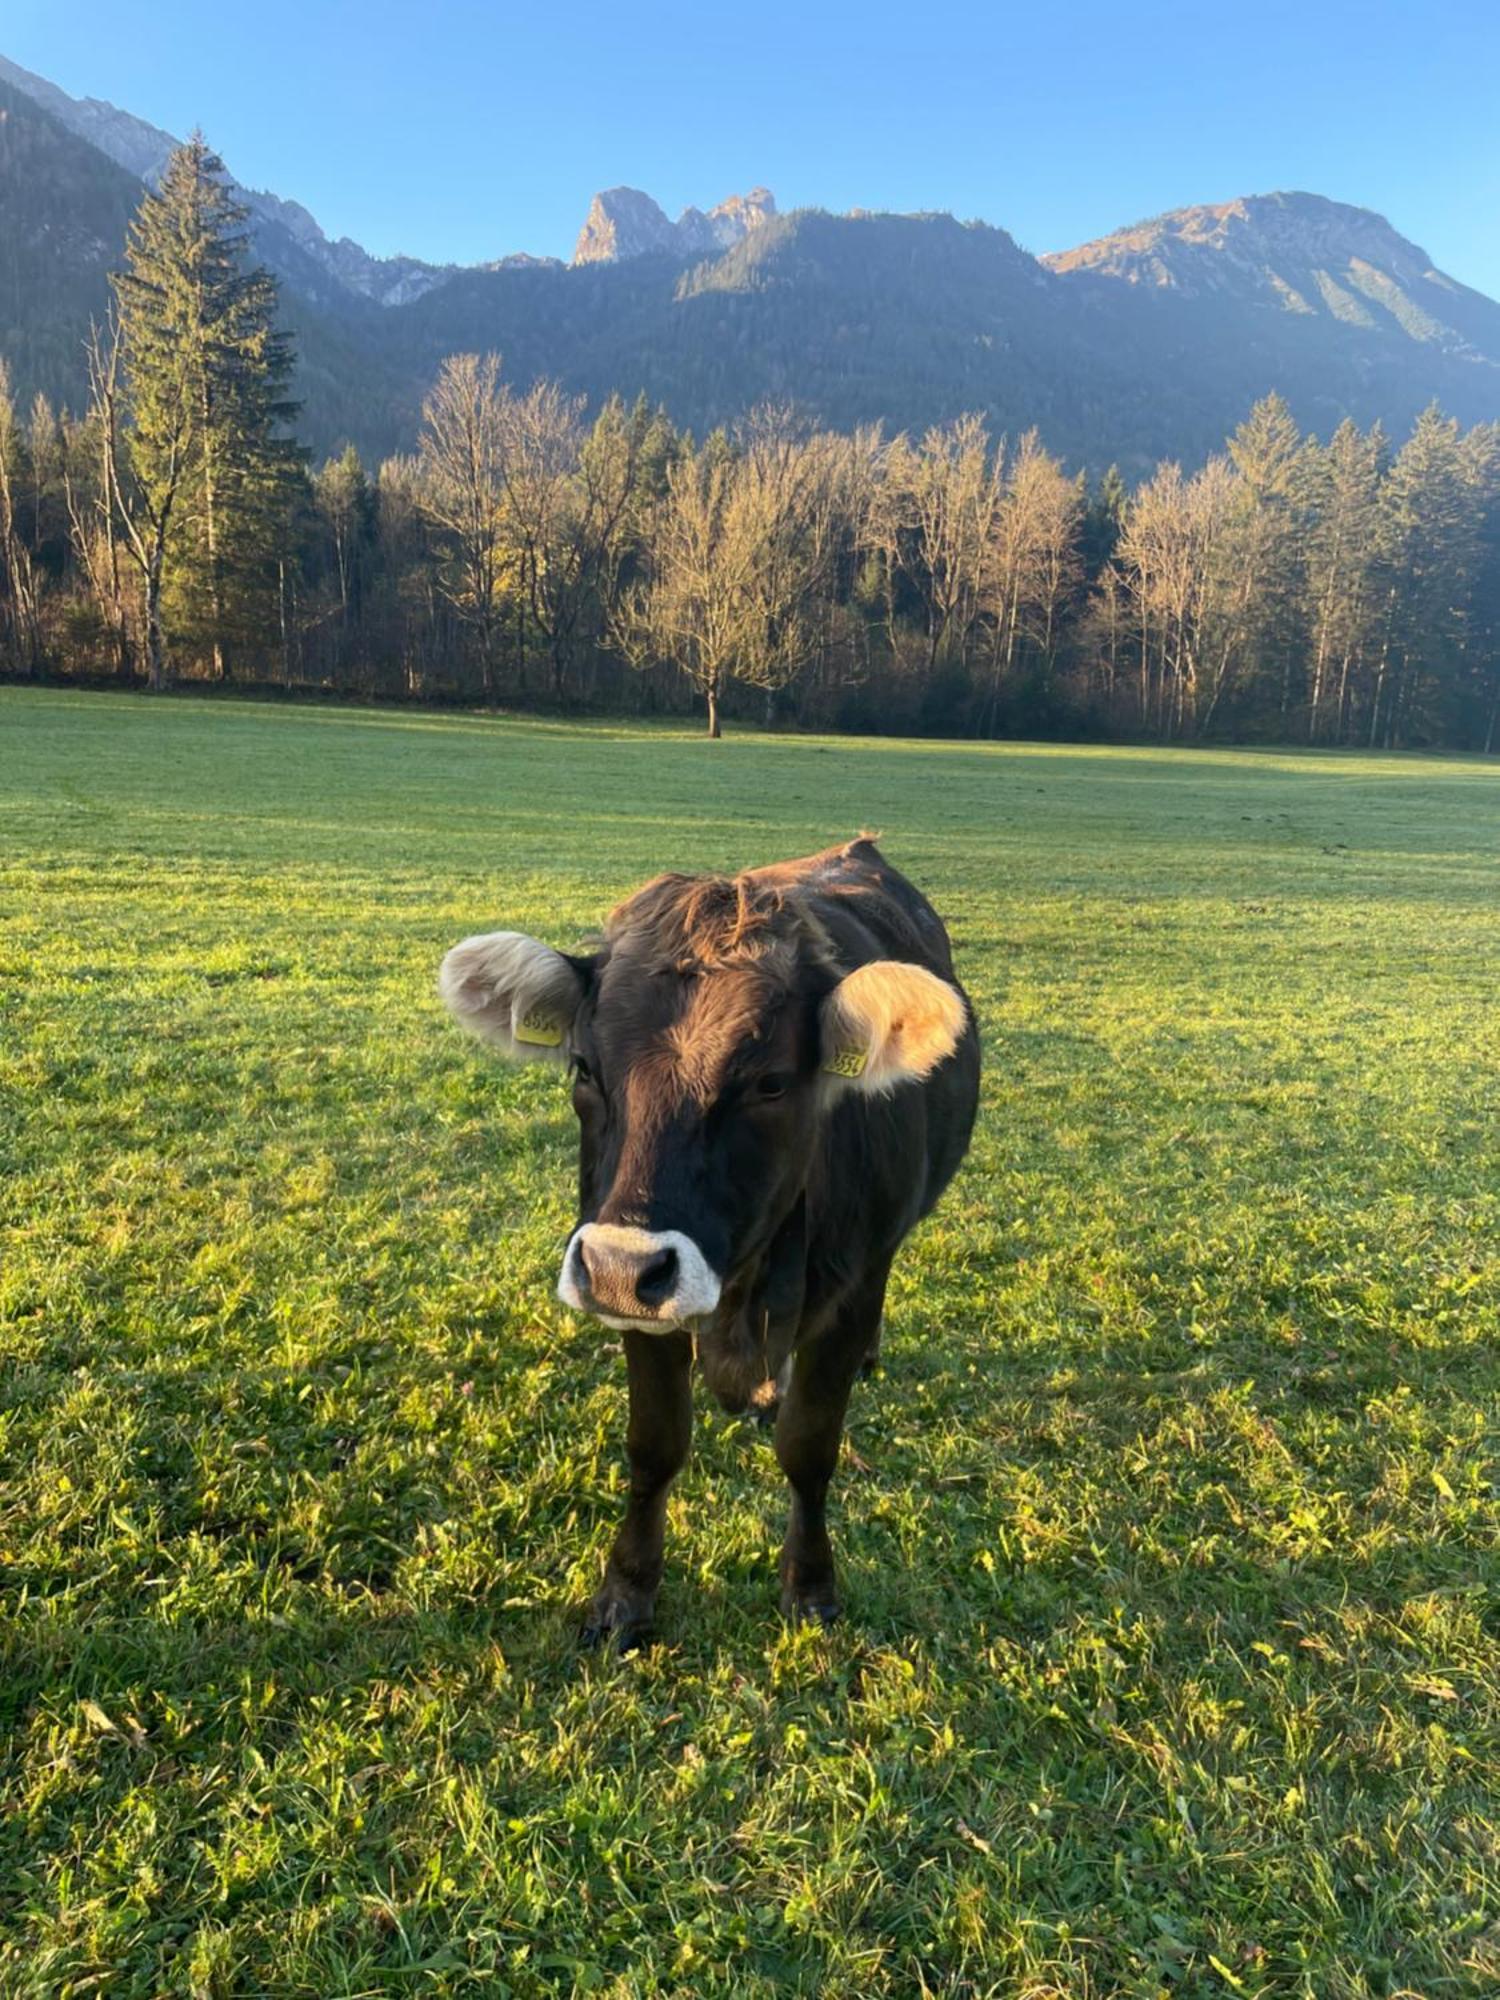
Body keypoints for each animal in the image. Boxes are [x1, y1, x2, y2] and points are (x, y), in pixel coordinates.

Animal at [440, 836, 980, 1648]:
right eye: (583, 1068)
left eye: (770, 1084)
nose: (619, 1267)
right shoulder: (644, 1303)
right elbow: (655, 1445)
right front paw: (626, 1594)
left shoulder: (851, 1292)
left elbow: (809, 1447)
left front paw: (810, 1585)